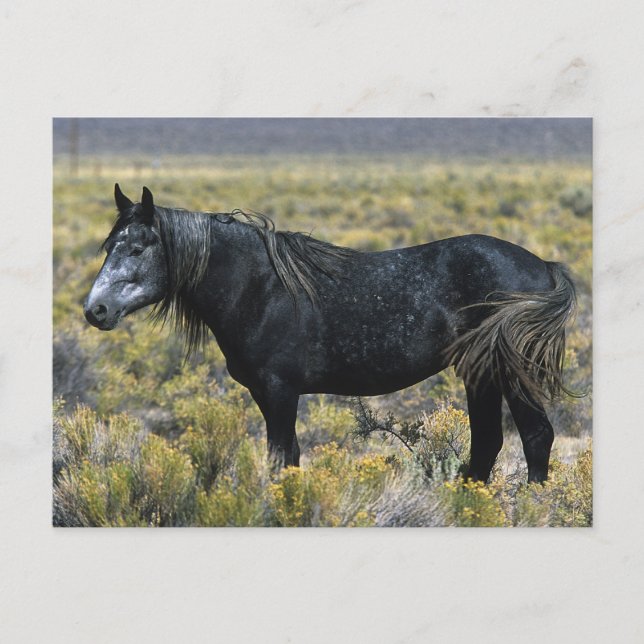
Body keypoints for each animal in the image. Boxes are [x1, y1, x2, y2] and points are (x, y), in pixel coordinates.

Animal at [84, 184, 577, 483]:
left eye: (138, 247)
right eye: (109, 246)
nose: (95, 310)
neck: (258, 287)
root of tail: (542, 265)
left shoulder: (280, 392)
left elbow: (280, 458)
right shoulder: (266, 394)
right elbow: (290, 456)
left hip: (510, 373)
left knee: (535, 437)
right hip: (480, 373)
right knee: (487, 443)